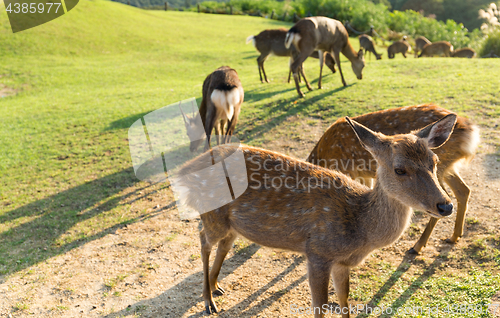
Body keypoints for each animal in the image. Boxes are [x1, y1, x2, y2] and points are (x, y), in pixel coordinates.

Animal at [175, 113, 458, 316]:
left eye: (434, 162)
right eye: (400, 169)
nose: (445, 205)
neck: (359, 229)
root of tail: (184, 171)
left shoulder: (342, 263)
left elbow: (344, 299)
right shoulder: (318, 252)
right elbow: (320, 307)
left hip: (232, 224)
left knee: (223, 244)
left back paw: (216, 287)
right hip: (213, 214)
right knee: (203, 239)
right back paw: (208, 301)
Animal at [306, 103, 478, 253]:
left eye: (434, 161)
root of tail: (470, 131)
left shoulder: (351, 170)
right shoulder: (362, 173)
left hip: (443, 167)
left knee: (449, 195)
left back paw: (417, 247)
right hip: (448, 167)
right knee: (463, 190)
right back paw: (454, 236)